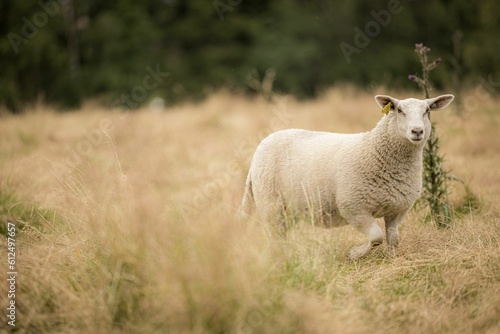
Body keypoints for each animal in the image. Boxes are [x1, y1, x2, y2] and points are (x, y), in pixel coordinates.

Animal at [240, 93, 456, 258]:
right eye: (399, 110)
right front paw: (355, 254)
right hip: (271, 205)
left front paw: (392, 259)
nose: (417, 131)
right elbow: (376, 237)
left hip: (289, 208)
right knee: (275, 236)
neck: (375, 150)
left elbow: (393, 239)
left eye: (427, 111)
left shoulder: (397, 210)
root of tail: (261, 146)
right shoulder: (354, 208)